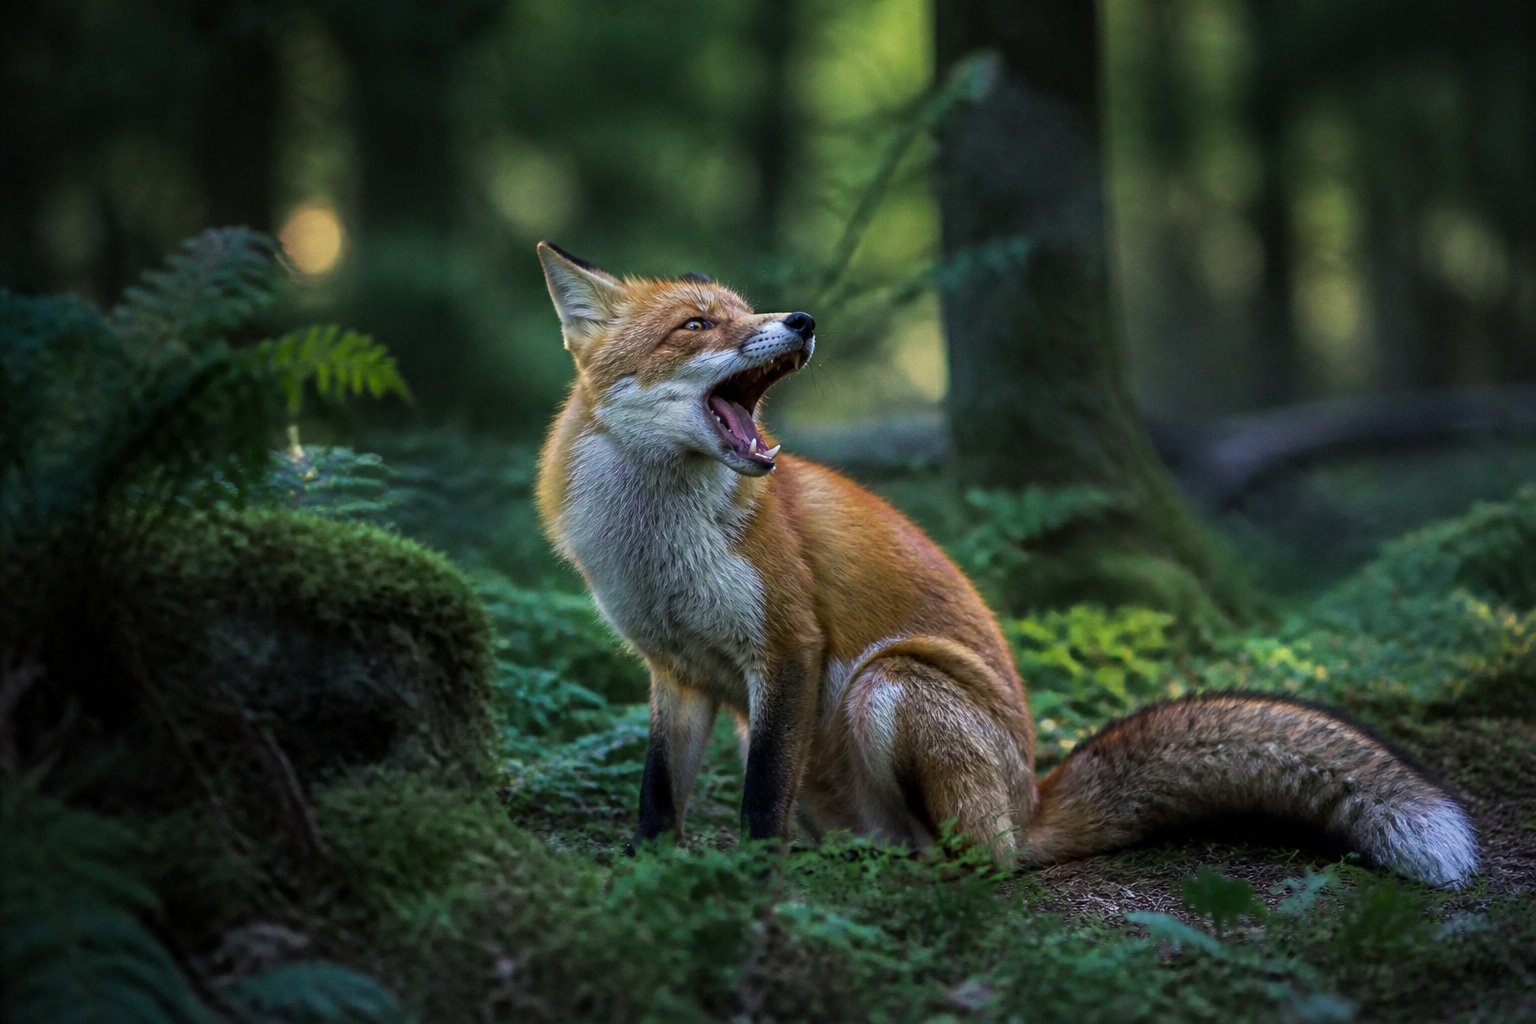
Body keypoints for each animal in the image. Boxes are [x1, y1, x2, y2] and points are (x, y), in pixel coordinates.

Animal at [533, 241, 1479, 888]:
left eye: (747, 308)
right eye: (697, 323)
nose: (801, 321)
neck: (657, 544)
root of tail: (1033, 801)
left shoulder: (788, 649)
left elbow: (760, 799)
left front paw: (752, 884)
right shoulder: (679, 672)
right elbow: (659, 792)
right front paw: (645, 873)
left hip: (891, 684)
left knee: (982, 861)